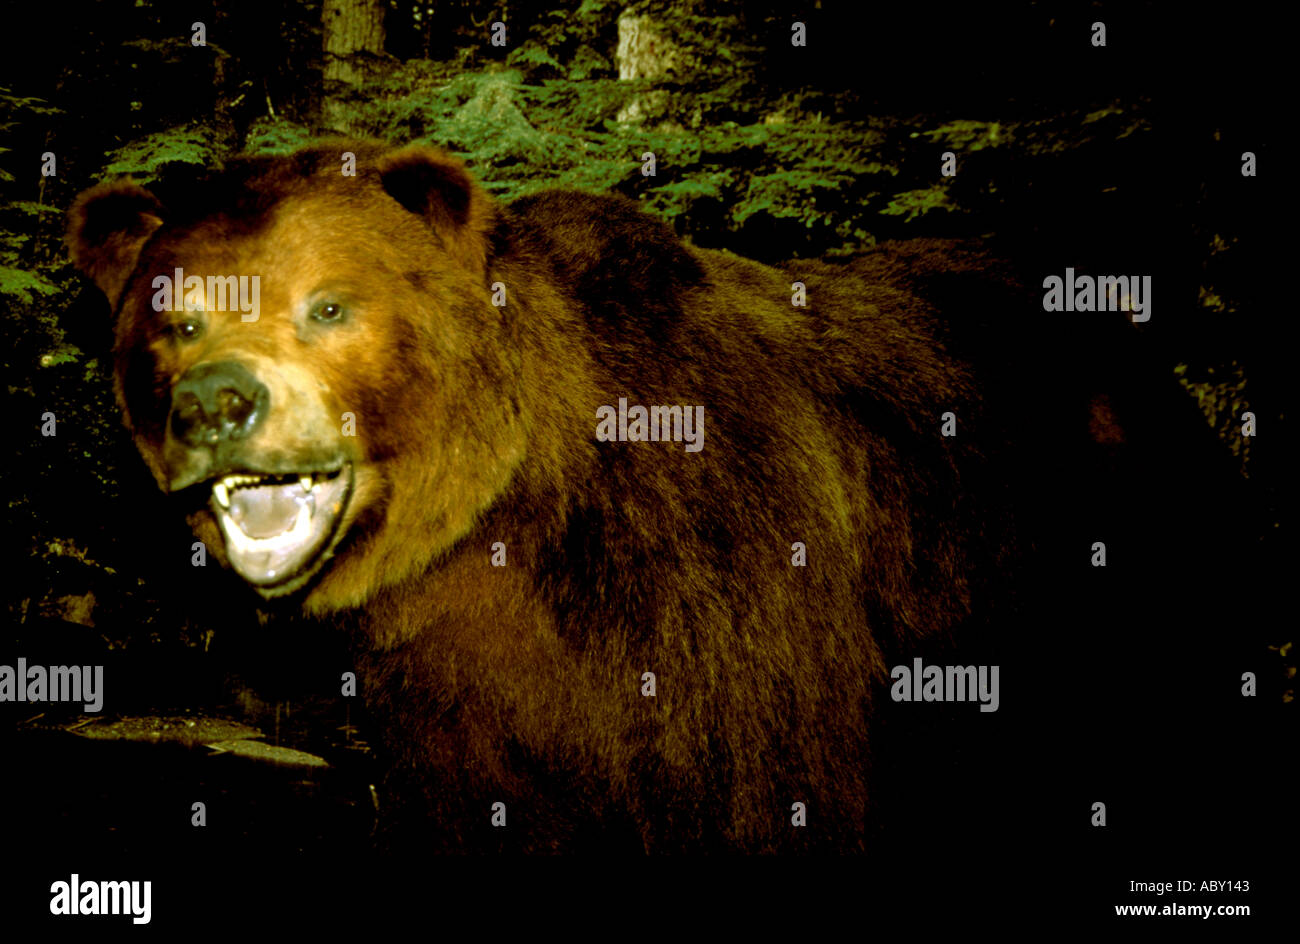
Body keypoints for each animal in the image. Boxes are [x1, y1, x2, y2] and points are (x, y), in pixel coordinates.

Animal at [65, 140, 1022, 853]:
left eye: (328, 306)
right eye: (177, 320)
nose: (216, 402)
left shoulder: (723, 598)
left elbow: (761, 796)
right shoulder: (454, 692)